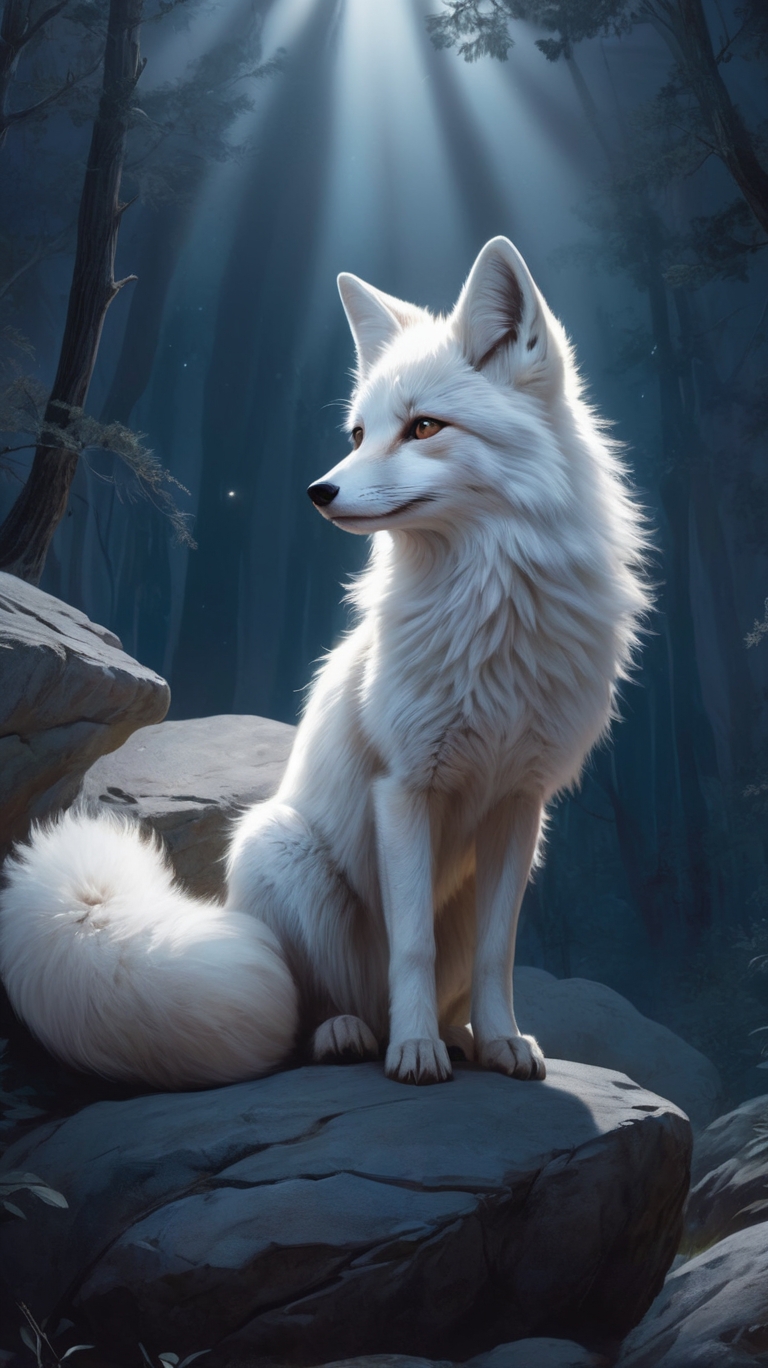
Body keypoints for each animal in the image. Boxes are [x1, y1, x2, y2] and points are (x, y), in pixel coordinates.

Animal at [0, 237, 648, 1091]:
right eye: (358, 432)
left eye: (424, 427)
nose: (318, 491)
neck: (490, 608)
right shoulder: (403, 788)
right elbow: (411, 946)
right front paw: (414, 1053)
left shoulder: (521, 805)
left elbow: (497, 953)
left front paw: (503, 1040)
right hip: (285, 852)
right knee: (316, 1009)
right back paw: (358, 1033)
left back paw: (462, 1035)